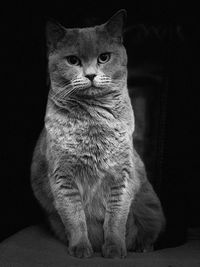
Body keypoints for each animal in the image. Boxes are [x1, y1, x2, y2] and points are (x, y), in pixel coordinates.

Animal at [30, 9, 166, 258]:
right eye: (73, 60)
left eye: (104, 57)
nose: (91, 75)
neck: (93, 122)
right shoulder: (62, 176)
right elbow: (75, 217)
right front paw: (82, 248)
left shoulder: (122, 175)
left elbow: (116, 219)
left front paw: (114, 249)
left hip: (151, 207)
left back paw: (143, 247)